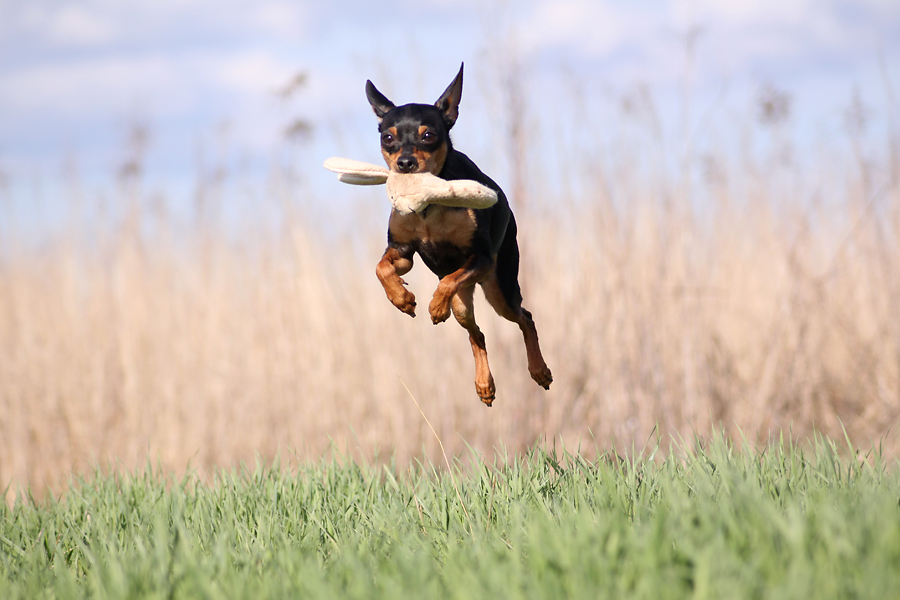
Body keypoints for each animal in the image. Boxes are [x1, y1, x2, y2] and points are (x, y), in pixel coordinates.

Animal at [364, 63, 548, 406]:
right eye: (388, 137)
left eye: (428, 135)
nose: (405, 162)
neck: (429, 205)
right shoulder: (403, 251)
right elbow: (381, 268)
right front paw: (401, 299)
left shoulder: (481, 257)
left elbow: (448, 280)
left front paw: (435, 306)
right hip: (467, 303)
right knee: (477, 335)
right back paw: (484, 385)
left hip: (500, 289)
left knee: (525, 317)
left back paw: (539, 369)